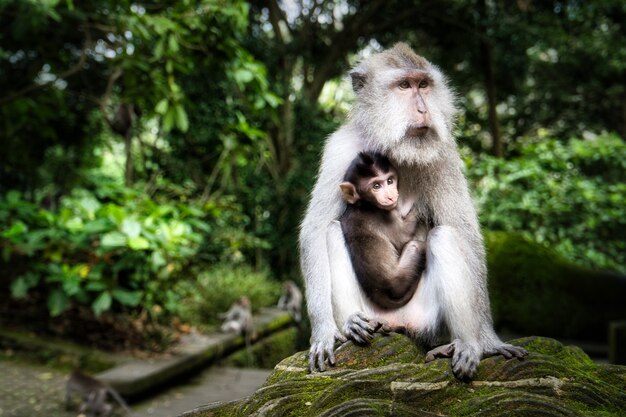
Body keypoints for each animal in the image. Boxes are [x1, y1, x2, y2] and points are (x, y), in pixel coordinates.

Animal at [338, 150, 426, 308]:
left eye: (390, 181)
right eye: (376, 186)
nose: (391, 196)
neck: (364, 204)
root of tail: (377, 291)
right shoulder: (384, 216)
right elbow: (403, 237)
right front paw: (421, 206)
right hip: (401, 279)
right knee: (415, 246)